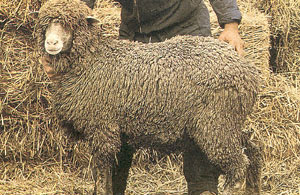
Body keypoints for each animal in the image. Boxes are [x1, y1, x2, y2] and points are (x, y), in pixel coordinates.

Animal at [36, 0, 262, 194]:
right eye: (46, 25)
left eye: (70, 24)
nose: (51, 43)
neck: (90, 60)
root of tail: (246, 69)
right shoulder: (114, 130)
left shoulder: (102, 128)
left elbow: (102, 173)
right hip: (229, 122)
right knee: (251, 151)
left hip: (215, 123)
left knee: (238, 166)